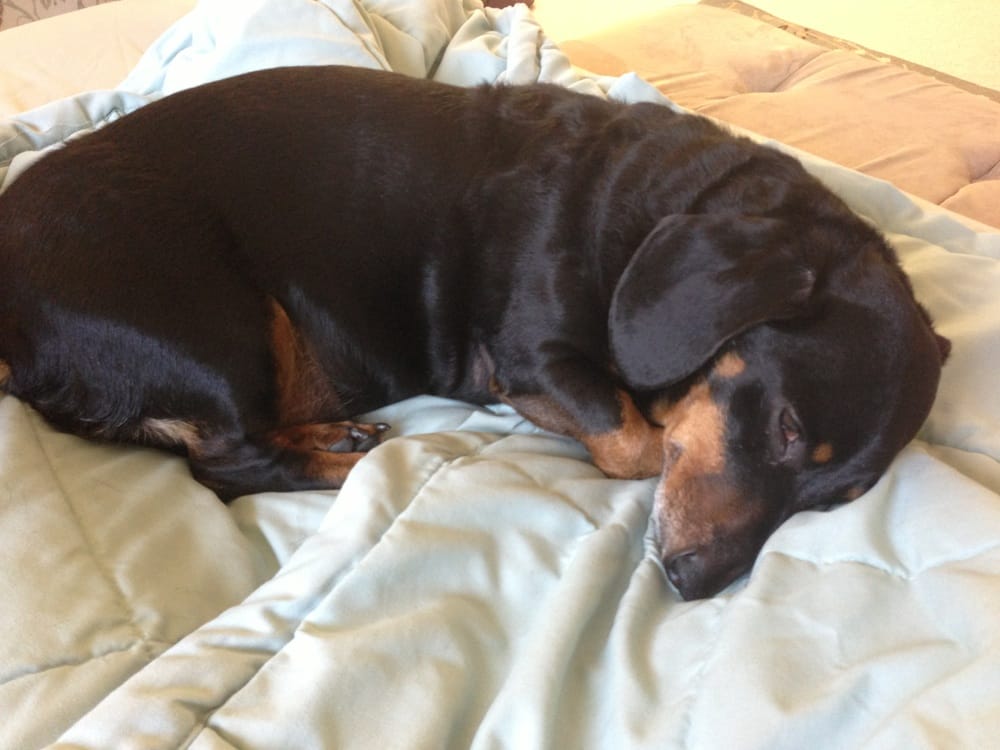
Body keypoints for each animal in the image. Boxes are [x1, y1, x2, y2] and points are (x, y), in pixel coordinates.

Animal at [0, 66, 949, 600]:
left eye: (836, 499)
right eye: (786, 427)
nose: (697, 583)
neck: (660, 207)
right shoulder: (534, 359)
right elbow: (637, 443)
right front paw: (651, 426)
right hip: (220, 323)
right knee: (228, 466)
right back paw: (349, 457)